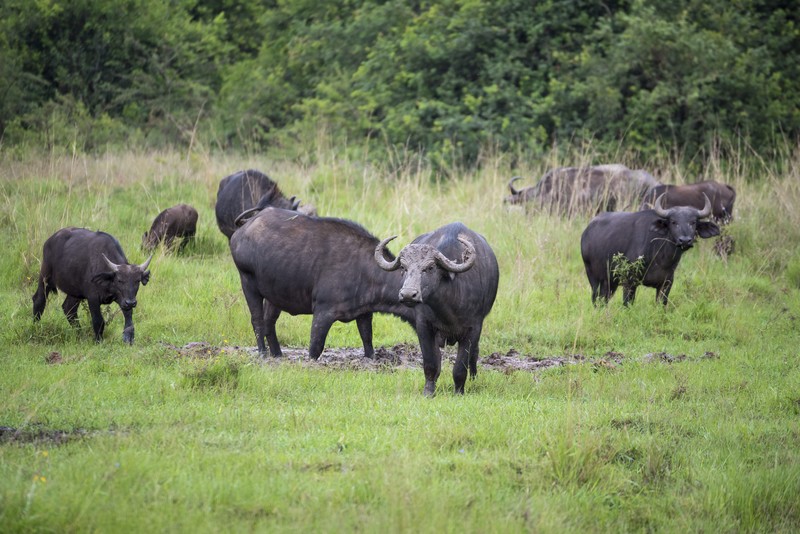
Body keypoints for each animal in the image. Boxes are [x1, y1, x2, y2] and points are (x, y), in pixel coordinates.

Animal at [225, 207, 412, 362]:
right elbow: (315, 347)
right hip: (248, 282)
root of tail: (247, 224)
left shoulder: (364, 313)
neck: (363, 267)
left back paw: (277, 354)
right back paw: (263, 353)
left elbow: (367, 338)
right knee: (257, 320)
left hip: (274, 294)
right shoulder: (323, 313)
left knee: (269, 322)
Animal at [376, 223, 500, 398]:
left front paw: (459, 392)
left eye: (430, 267)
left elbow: (460, 366)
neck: (447, 309)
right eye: (404, 267)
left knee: (474, 353)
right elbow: (431, 363)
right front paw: (428, 391)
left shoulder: (473, 328)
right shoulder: (423, 326)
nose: (408, 294)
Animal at [580, 195, 720, 308]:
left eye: (693, 222)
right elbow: (627, 304)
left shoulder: (666, 284)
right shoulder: (629, 282)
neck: (661, 258)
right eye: (673, 222)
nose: (685, 240)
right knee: (596, 299)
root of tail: (586, 232)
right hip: (594, 278)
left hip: (610, 282)